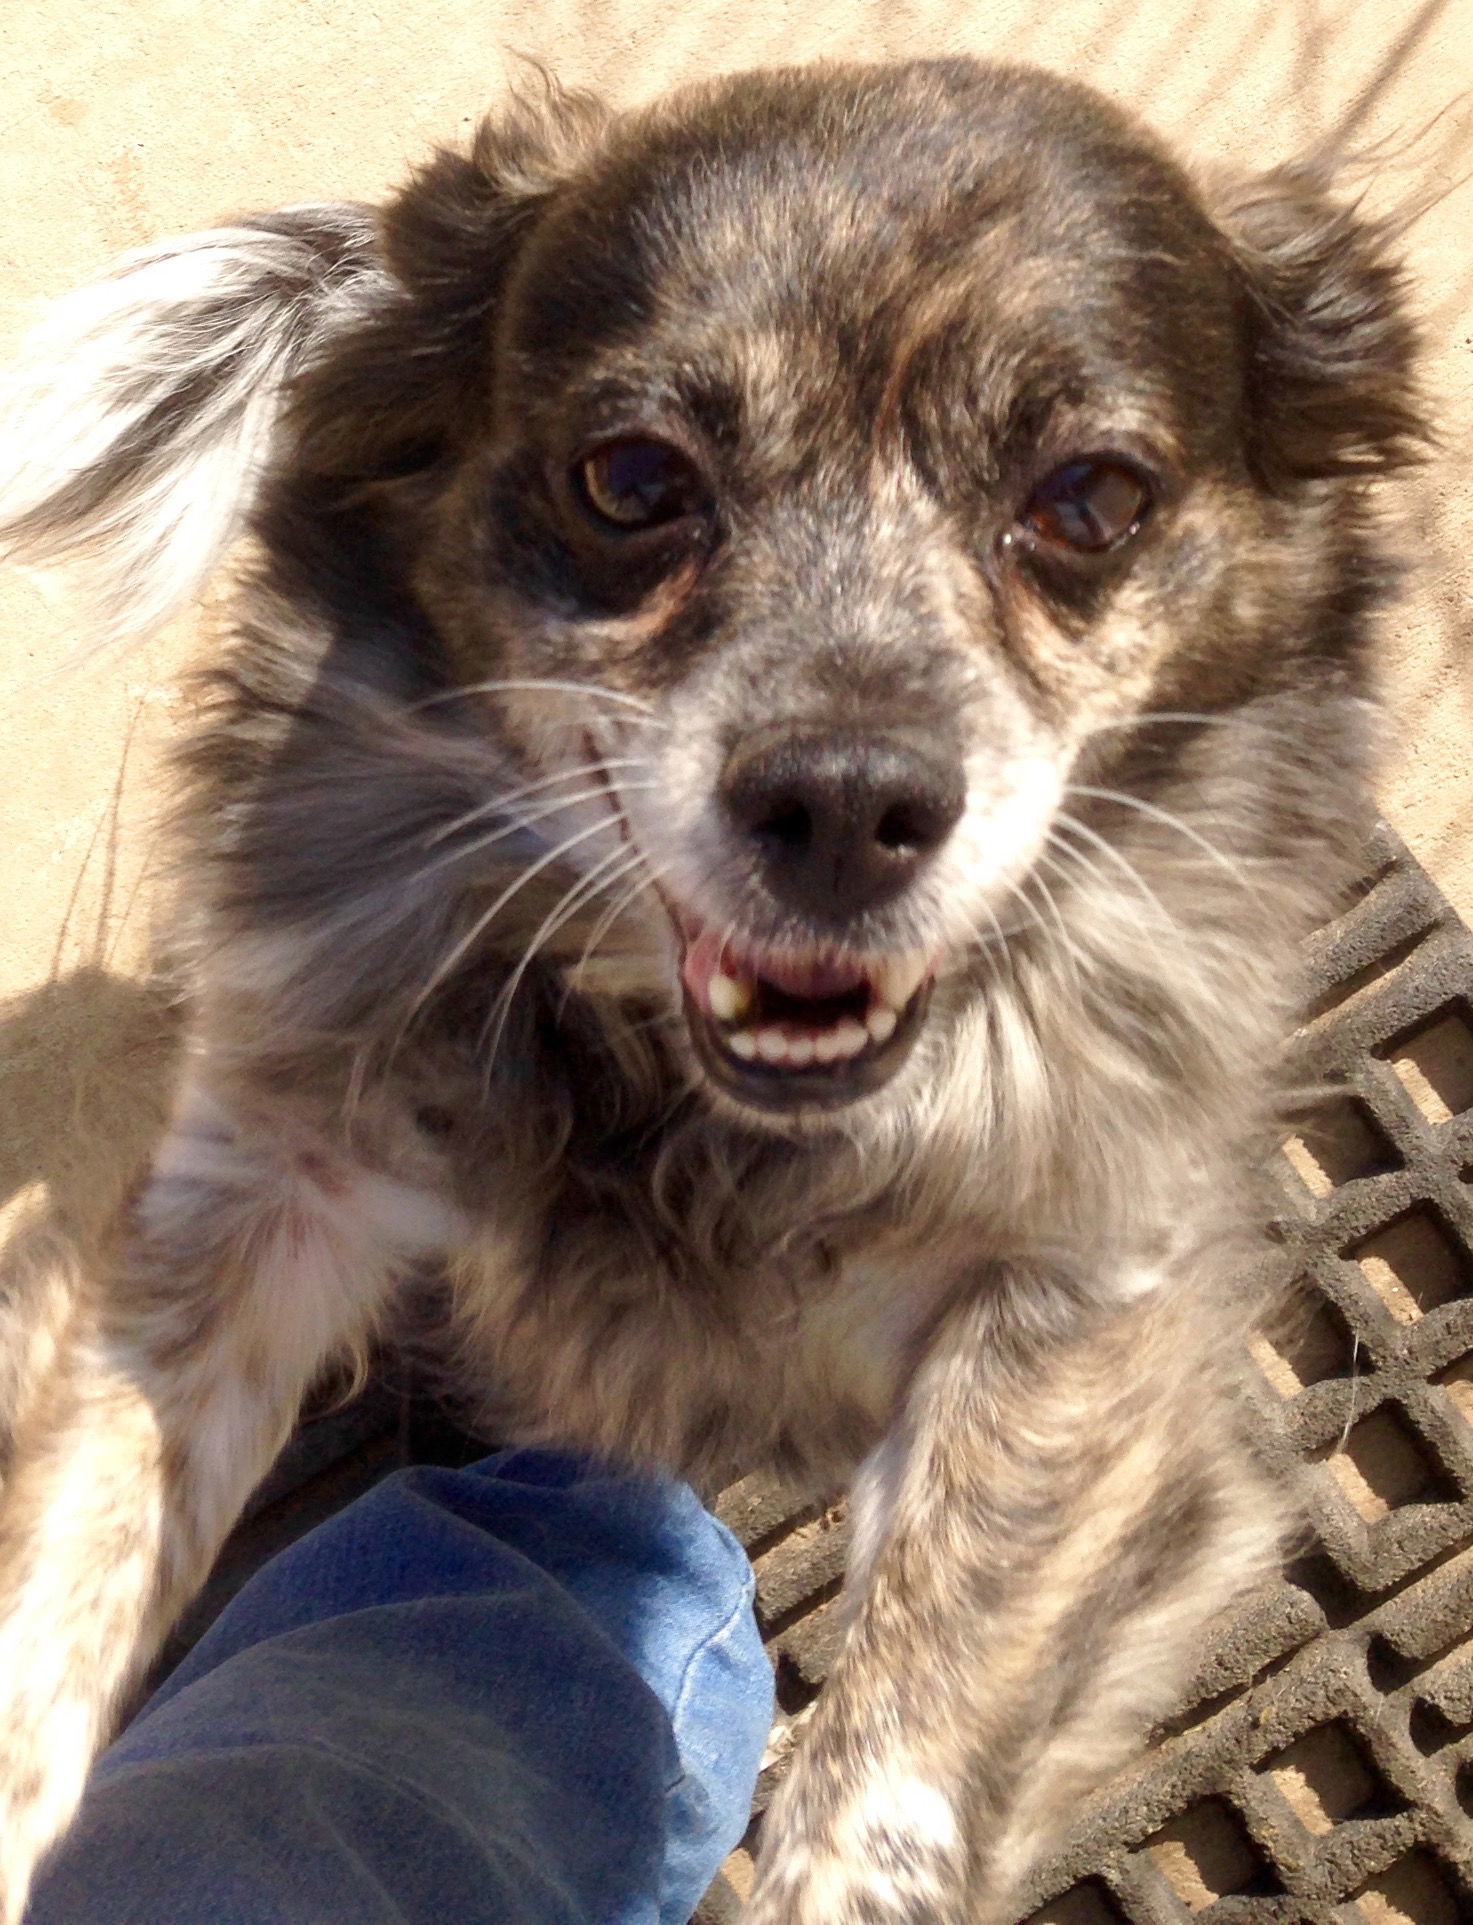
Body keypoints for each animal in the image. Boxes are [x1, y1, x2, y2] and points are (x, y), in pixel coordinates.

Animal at [0, 56, 1417, 1925]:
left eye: (1090, 500)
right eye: (630, 479)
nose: (842, 804)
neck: (692, 1113)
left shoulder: (1085, 1315)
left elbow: (899, 1753)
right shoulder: (269, 1173)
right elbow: (76, 1547)